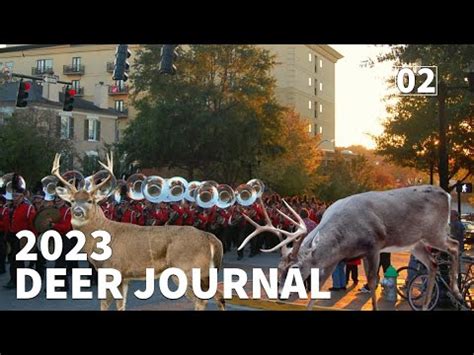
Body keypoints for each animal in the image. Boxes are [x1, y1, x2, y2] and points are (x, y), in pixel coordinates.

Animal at [51, 153, 225, 312]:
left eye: (90, 201)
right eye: (72, 201)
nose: (77, 211)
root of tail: (210, 238)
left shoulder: (111, 269)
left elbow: (105, 304)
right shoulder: (124, 276)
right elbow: (121, 304)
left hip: (187, 268)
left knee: (203, 299)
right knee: (217, 296)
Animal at [239, 186, 462, 312]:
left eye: (296, 268)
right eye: (278, 268)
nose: (279, 294)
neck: (345, 239)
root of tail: (447, 194)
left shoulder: (374, 245)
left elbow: (372, 282)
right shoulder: (334, 259)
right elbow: (318, 288)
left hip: (434, 232)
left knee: (454, 245)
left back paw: (457, 292)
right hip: (416, 243)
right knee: (433, 264)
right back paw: (425, 305)